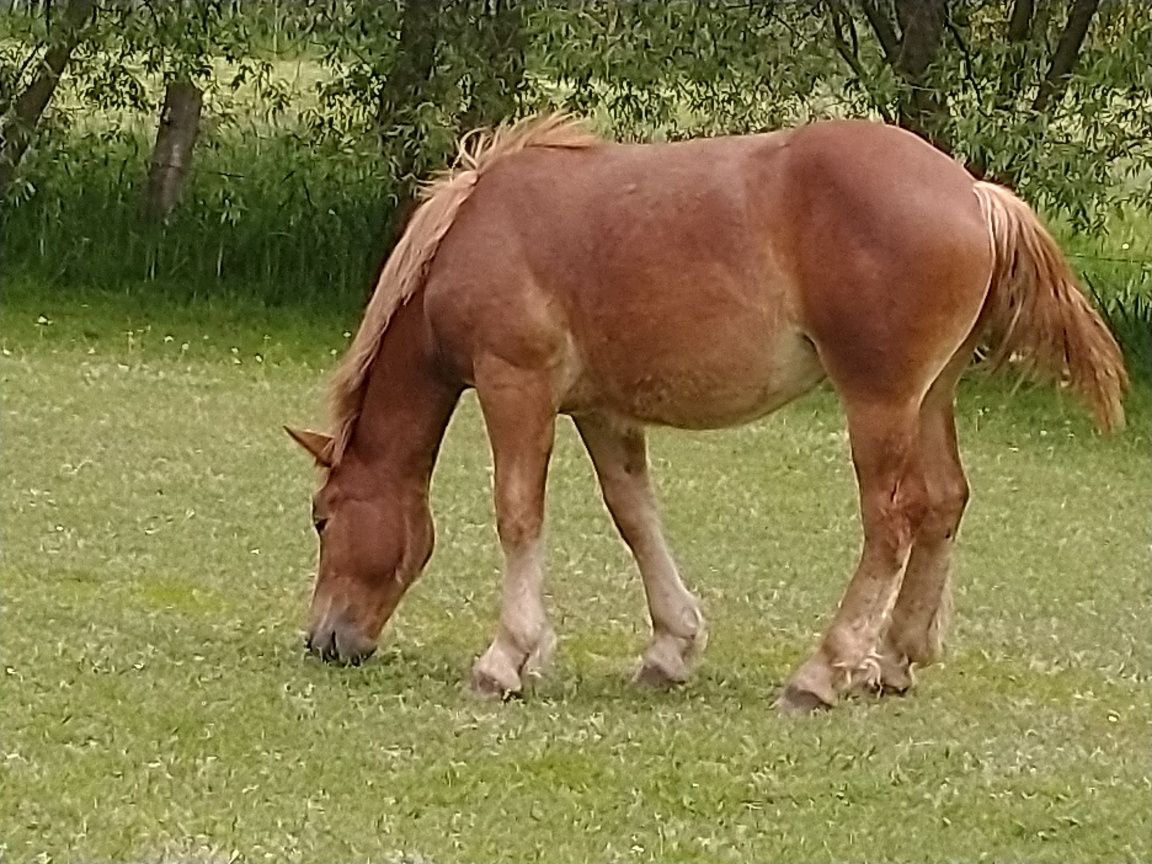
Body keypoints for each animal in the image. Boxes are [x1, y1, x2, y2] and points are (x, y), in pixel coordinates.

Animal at [285, 115, 1124, 714]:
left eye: (323, 518)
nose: (325, 640)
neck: (476, 232)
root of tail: (974, 193)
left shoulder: (514, 386)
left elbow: (518, 513)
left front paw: (506, 658)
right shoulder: (600, 410)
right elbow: (635, 515)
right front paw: (671, 647)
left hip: (879, 404)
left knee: (892, 524)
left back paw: (822, 673)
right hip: (930, 400)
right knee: (945, 504)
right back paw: (892, 659)